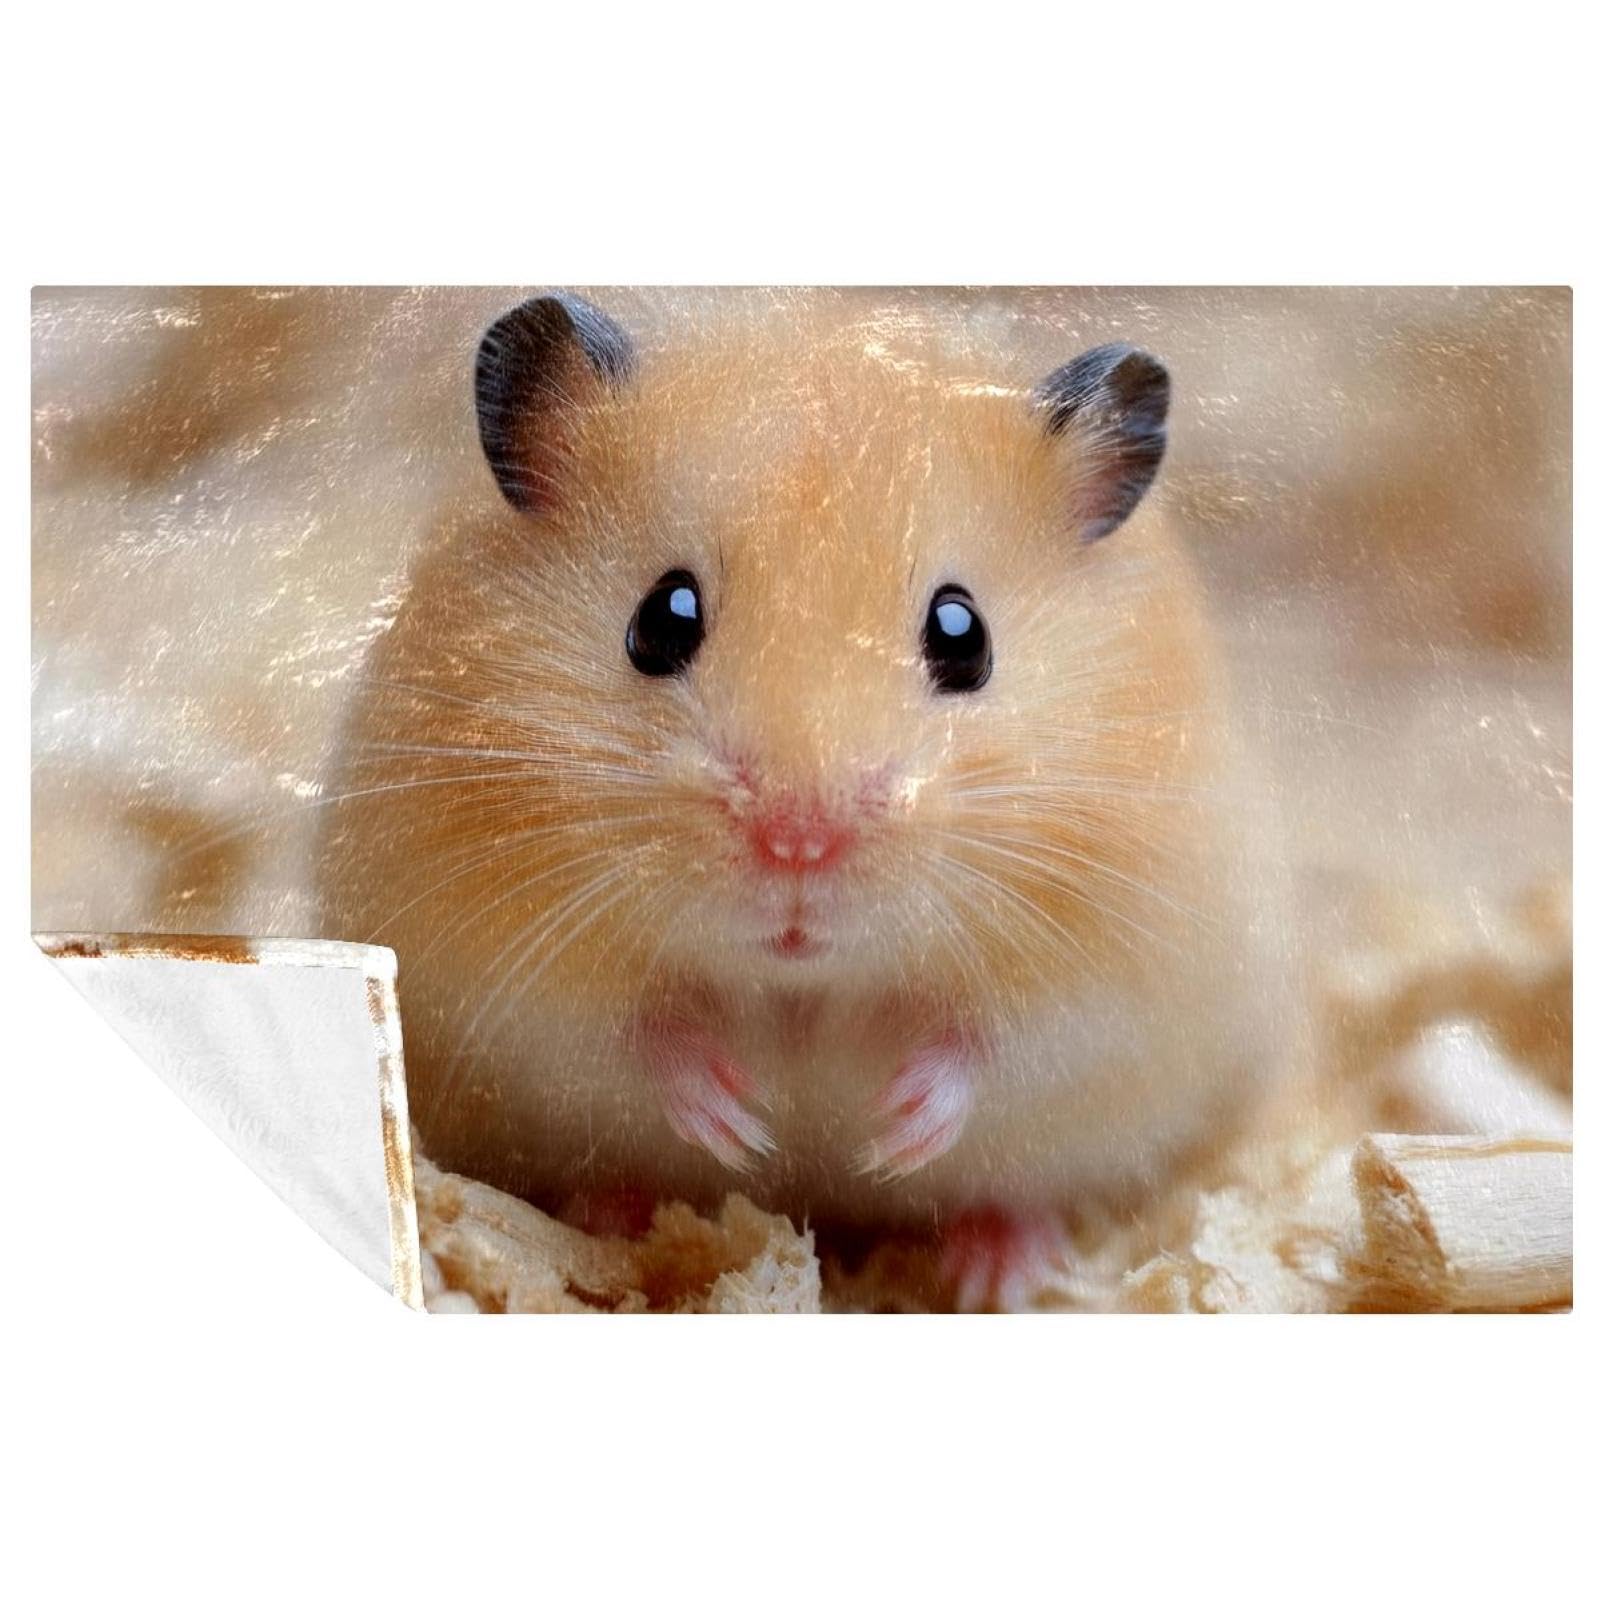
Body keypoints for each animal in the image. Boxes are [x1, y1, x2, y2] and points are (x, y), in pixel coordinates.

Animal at [318, 291, 1297, 1308]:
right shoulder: (496, 968)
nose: (798, 841)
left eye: (964, 636)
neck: (805, 984)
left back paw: (1000, 1269)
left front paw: (888, 1131)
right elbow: (629, 1032)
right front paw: (744, 1121)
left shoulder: (1124, 969)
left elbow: (999, 1047)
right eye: (661, 618)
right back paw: (614, 1216)